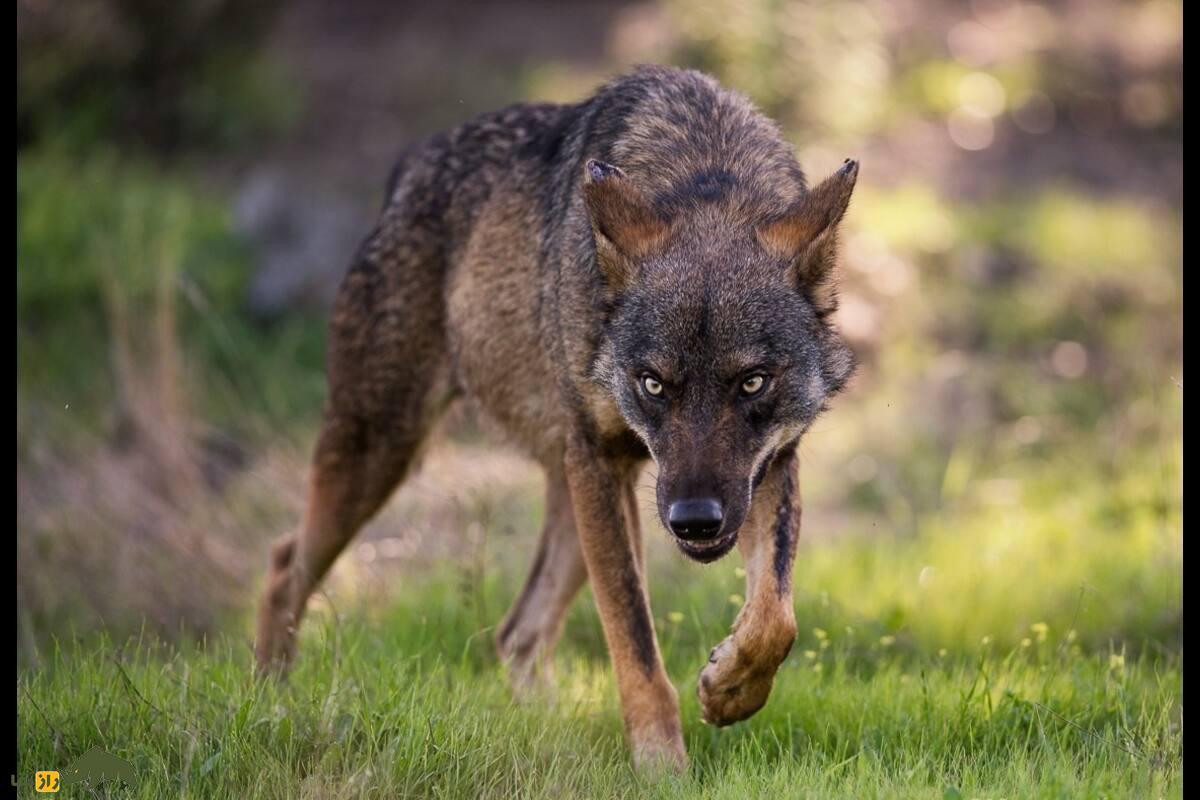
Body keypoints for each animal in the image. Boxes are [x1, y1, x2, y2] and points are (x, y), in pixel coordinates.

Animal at [253, 64, 859, 767]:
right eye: (653, 384)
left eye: (752, 383)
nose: (695, 520)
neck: (702, 164)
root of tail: (409, 167)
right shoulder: (601, 461)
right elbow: (636, 645)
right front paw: (662, 769)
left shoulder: (772, 464)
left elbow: (775, 617)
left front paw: (728, 690)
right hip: (385, 451)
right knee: (284, 564)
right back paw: (270, 702)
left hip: (570, 506)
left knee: (517, 634)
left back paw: (549, 730)